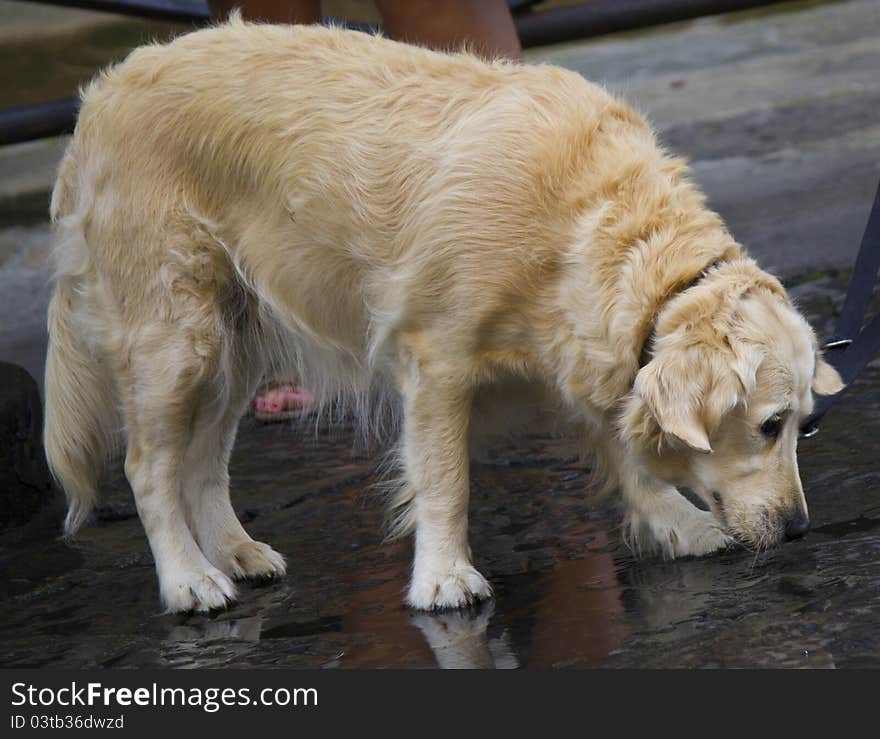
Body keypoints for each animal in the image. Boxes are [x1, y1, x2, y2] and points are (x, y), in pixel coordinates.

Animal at [44, 18, 844, 612]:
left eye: (805, 426)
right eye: (769, 425)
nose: (800, 530)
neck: (584, 224)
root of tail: (101, 95)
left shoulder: (584, 346)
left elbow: (621, 442)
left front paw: (676, 524)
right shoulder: (436, 357)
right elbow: (444, 477)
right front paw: (443, 577)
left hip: (235, 339)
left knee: (205, 460)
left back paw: (236, 552)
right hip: (175, 334)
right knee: (150, 465)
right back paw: (188, 579)